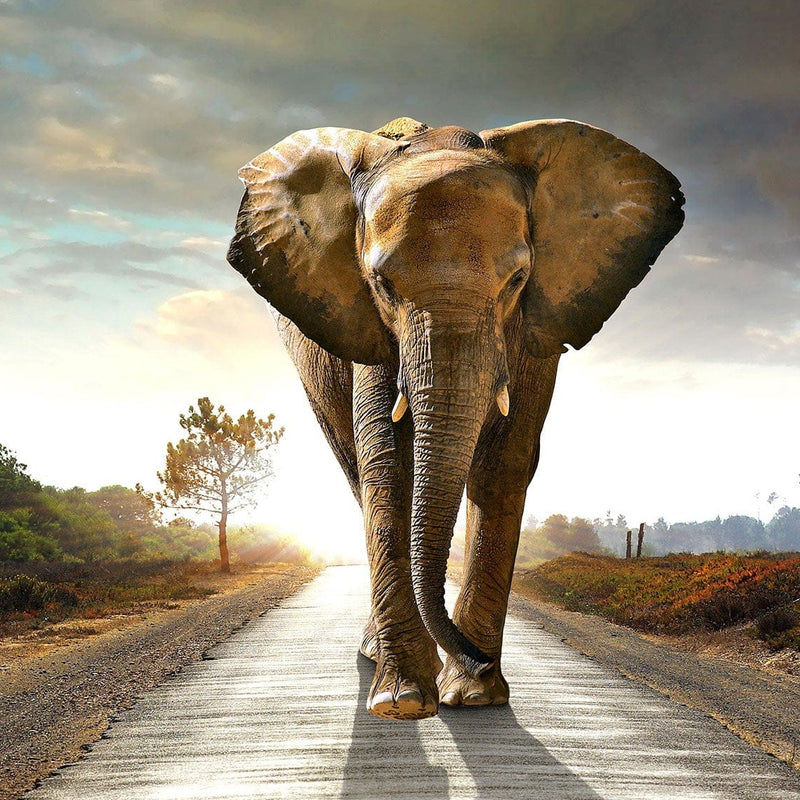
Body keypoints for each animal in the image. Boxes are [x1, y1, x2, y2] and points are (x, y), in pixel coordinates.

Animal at [227, 116, 683, 720]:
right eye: (382, 284)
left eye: (517, 280)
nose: (477, 657)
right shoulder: (369, 327)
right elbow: (387, 462)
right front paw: (403, 702)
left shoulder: (535, 327)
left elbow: (505, 462)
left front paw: (473, 695)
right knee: (355, 470)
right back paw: (378, 656)